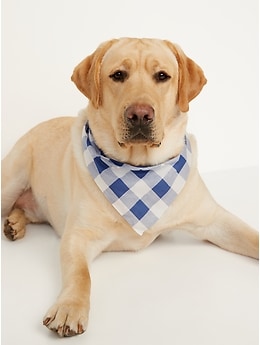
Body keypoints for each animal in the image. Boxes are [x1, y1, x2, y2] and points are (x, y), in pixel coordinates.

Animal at [1, 37, 258, 336]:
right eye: (118, 75)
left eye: (162, 76)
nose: (140, 114)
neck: (140, 172)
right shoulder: (78, 235)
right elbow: (81, 275)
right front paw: (70, 307)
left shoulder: (214, 219)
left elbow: (252, 236)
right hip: (12, 178)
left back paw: (15, 224)